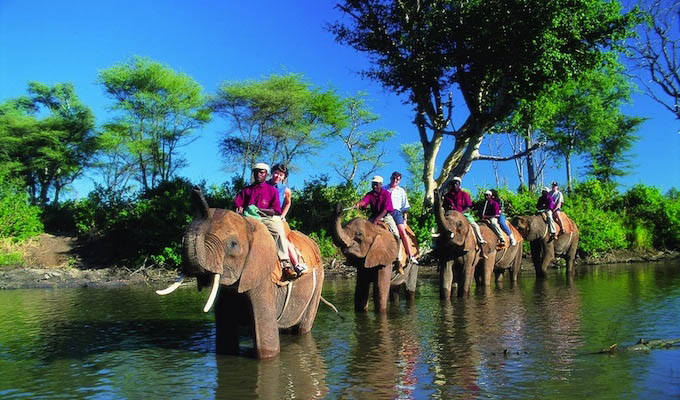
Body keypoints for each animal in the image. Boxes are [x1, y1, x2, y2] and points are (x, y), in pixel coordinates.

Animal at [156, 188, 324, 360]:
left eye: (233, 244)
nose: (196, 189)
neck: (249, 224)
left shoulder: (262, 276)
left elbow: (266, 347)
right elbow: (226, 343)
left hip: (319, 280)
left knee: (303, 327)